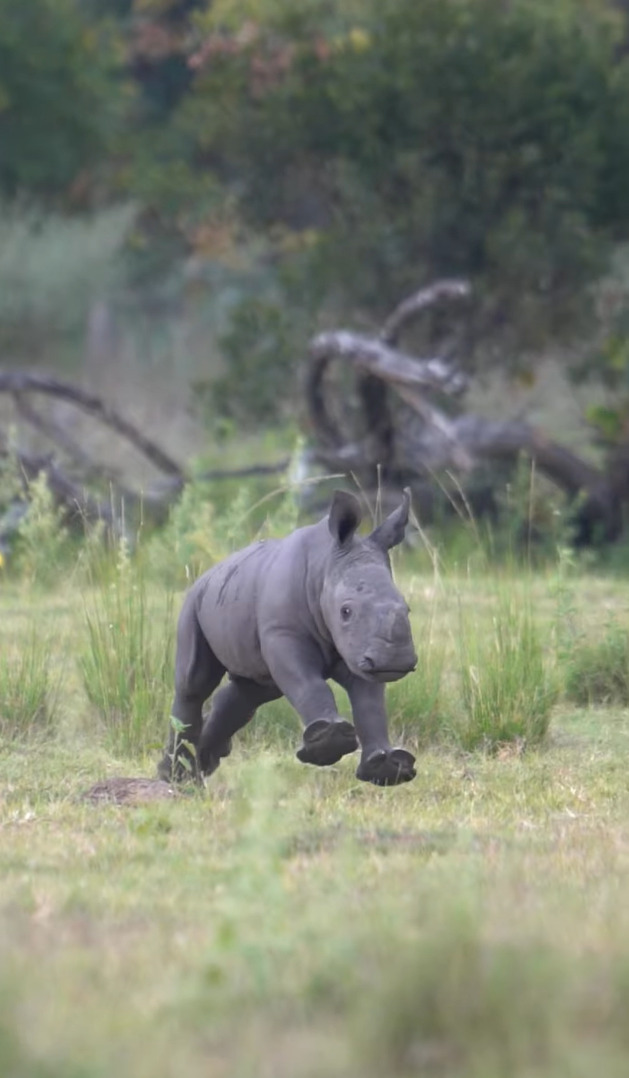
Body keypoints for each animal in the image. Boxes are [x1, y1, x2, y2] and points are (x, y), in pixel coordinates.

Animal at [158, 489, 418, 784]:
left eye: (407, 609)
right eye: (346, 611)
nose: (395, 660)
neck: (324, 565)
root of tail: (209, 572)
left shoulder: (358, 650)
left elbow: (370, 703)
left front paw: (389, 768)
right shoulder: (284, 633)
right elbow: (307, 683)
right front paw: (326, 744)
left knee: (252, 691)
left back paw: (202, 764)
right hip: (194, 601)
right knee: (193, 683)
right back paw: (178, 778)